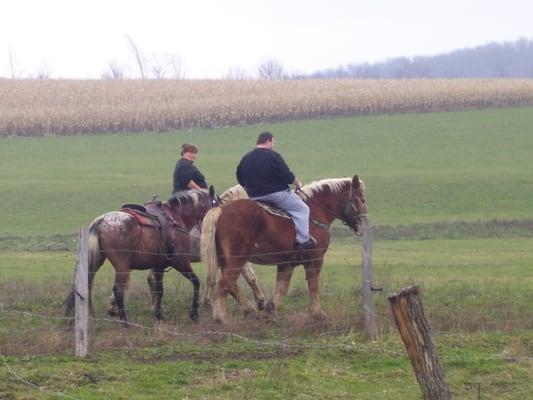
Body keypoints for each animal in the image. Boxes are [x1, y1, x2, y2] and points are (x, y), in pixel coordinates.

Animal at [63, 188, 217, 324]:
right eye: (215, 204)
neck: (175, 218)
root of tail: (100, 221)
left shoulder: (159, 266)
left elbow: (160, 289)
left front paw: (159, 316)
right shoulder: (180, 261)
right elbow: (196, 282)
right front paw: (194, 314)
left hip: (96, 261)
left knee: (88, 284)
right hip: (122, 266)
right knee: (118, 290)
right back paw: (124, 322)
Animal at [200, 173, 366, 324]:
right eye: (362, 199)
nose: (361, 225)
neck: (315, 211)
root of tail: (220, 210)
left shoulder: (287, 262)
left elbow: (282, 287)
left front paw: (271, 312)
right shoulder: (315, 258)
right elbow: (313, 285)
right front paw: (317, 314)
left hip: (225, 259)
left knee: (231, 285)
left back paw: (247, 310)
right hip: (237, 259)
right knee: (225, 283)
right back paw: (221, 317)